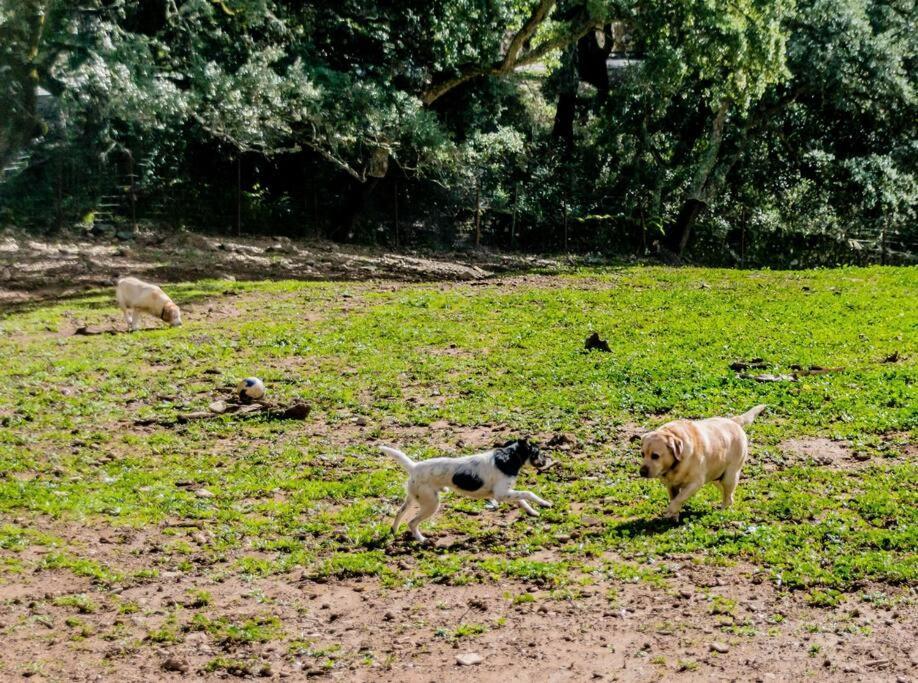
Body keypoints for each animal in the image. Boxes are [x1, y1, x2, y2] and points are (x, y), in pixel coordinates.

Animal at [382, 440, 552, 544]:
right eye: (538, 452)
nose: (546, 461)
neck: (508, 457)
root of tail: (414, 467)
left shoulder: (506, 492)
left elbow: (521, 499)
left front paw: (532, 512)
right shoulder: (501, 493)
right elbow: (528, 493)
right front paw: (545, 503)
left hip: (413, 497)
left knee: (400, 512)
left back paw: (394, 530)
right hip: (432, 503)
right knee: (412, 522)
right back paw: (422, 539)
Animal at [640, 406, 768, 524]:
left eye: (655, 456)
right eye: (642, 454)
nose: (642, 472)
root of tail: (734, 421)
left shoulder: (695, 483)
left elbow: (678, 499)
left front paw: (671, 510)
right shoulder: (671, 486)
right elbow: (674, 498)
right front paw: (673, 516)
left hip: (729, 476)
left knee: (727, 497)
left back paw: (722, 513)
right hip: (717, 477)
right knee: (729, 496)